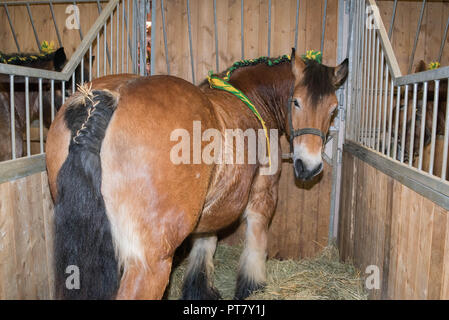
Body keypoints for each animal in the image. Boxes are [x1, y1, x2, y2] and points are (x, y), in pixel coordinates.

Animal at [45, 48, 348, 300]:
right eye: (296, 102)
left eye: (333, 108)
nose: (309, 166)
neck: (251, 98)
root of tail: (102, 101)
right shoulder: (263, 197)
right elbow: (255, 244)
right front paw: (252, 288)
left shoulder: (211, 208)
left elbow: (204, 244)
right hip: (149, 265)